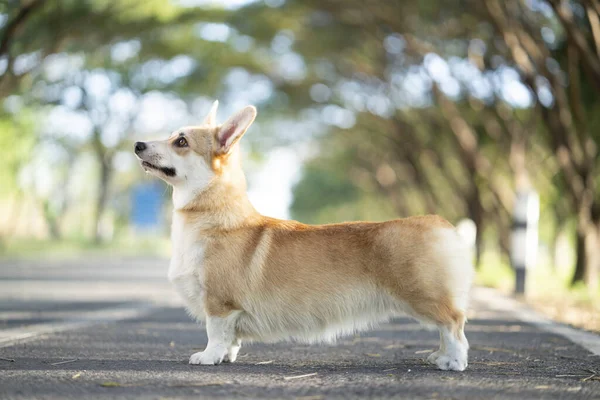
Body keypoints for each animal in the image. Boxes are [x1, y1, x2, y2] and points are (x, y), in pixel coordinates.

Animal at [135, 101, 474, 370]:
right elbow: (232, 339)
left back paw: (454, 362)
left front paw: (208, 357)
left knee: (454, 324)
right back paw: (439, 356)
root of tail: (440, 224)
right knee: (446, 328)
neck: (212, 215)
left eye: (181, 141)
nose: (138, 144)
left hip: (424, 295)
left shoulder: (219, 303)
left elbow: (215, 333)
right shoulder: (228, 310)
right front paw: (227, 356)